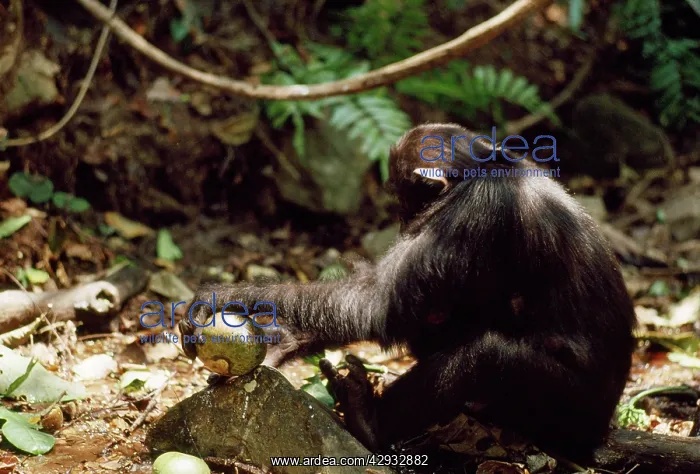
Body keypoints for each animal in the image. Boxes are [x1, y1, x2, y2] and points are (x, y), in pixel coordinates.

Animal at [179, 123, 636, 461]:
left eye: (401, 196)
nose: (401, 221)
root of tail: (601, 433)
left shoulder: (472, 214)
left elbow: (378, 304)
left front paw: (229, 294)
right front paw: (285, 337)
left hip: (567, 411)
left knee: (483, 359)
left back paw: (367, 418)